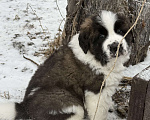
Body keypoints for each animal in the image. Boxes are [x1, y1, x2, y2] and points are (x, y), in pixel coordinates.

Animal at [0, 10, 132, 120]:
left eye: (120, 31)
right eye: (101, 36)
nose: (116, 46)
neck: (97, 56)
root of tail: (25, 107)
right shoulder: (95, 90)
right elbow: (99, 112)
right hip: (71, 104)